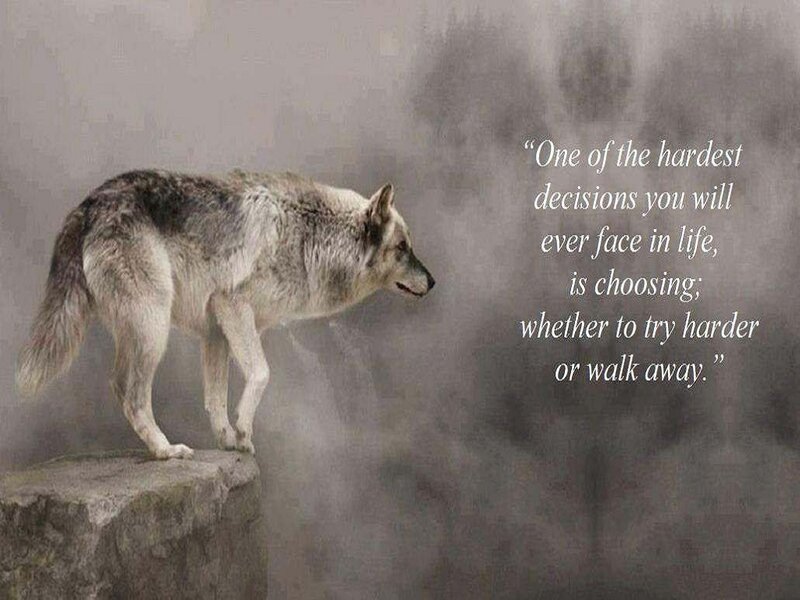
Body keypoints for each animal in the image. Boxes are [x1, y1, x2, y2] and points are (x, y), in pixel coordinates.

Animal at [15, 169, 435, 459]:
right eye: (402, 248)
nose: (432, 282)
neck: (309, 236)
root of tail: (88, 203)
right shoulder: (233, 307)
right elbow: (262, 374)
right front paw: (245, 432)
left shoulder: (215, 332)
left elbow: (216, 398)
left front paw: (228, 440)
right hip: (154, 329)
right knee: (132, 395)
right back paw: (166, 451)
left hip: (139, 330)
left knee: (118, 385)